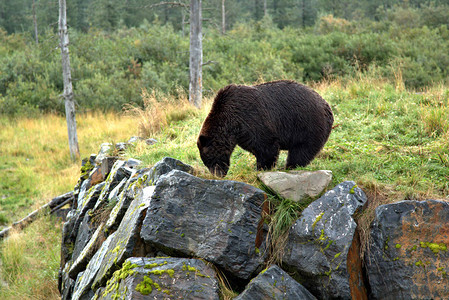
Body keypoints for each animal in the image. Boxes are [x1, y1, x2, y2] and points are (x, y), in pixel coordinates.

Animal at [196, 81, 332, 177]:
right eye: (206, 161)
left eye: (209, 158)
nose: (219, 174)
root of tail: (326, 105)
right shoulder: (243, 134)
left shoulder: (252, 118)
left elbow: (267, 146)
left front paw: (263, 168)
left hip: (307, 125)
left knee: (301, 151)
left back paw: (289, 166)